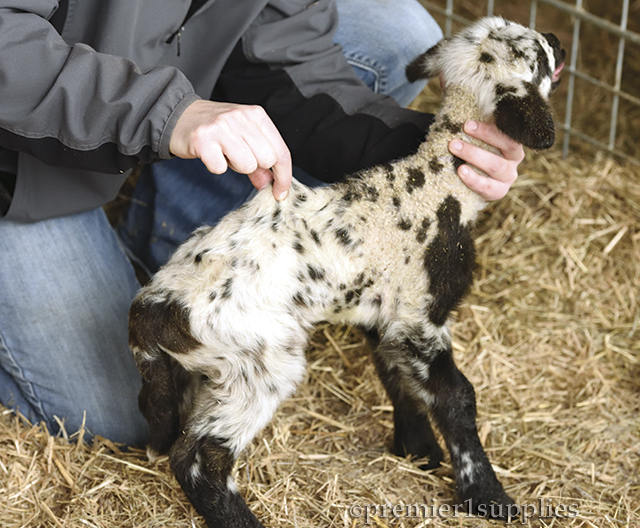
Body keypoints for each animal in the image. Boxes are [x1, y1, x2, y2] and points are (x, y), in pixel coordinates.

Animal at [129, 17, 564, 528]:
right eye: (539, 57)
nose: (559, 41)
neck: (437, 184)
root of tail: (152, 307)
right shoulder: (420, 318)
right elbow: (457, 397)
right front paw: (487, 494)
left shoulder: (383, 316)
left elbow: (397, 378)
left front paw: (417, 448)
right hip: (261, 362)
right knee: (197, 457)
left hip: (191, 370)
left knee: (157, 414)